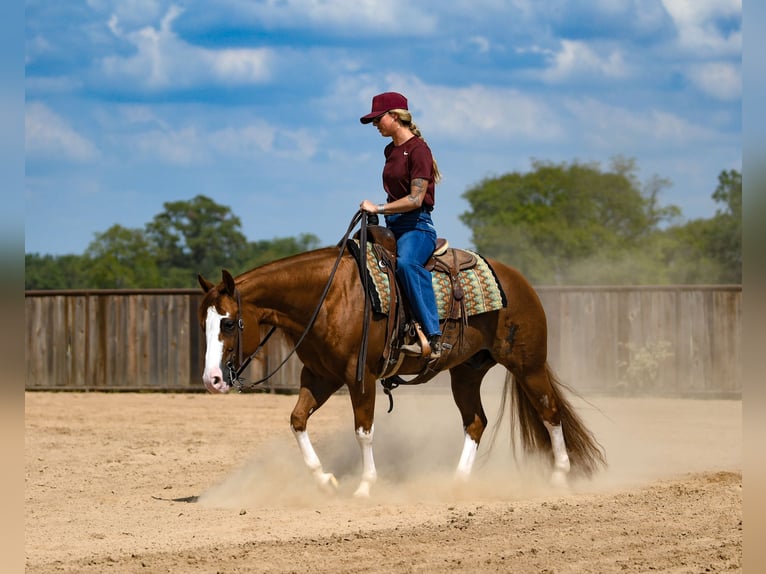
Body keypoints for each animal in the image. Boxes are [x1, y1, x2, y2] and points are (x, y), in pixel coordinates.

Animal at [196, 225, 606, 498]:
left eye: (229, 322)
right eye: (203, 323)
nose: (212, 380)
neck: (328, 297)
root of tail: (520, 283)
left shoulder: (358, 376)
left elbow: (363, 430)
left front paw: (364, 487)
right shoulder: (320, 376)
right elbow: (297, 420)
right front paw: (325, 480)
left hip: (528, 365)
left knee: (550, 412)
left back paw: (558, 477)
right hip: (466, 372)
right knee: (476, 422)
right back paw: (456, 483)